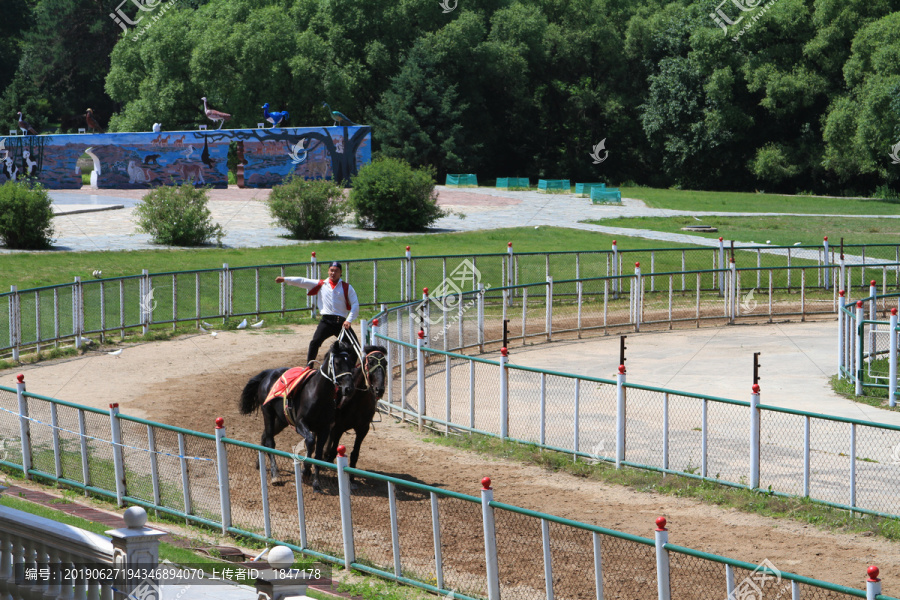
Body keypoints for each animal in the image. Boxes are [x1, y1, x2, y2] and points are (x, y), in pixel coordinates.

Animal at [239, 340, 356, 490]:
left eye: (351, 363)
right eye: (337, 363)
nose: (349, 388)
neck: (318, 394)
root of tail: (268, 373)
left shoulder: (324, 429)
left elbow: (318, 453)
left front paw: (316, 482)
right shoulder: (300, 423)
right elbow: (310, 441)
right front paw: (305, 471)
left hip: (281, 420)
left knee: (264, 435)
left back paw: (259, 462)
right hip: (268, 413)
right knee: (270, 441)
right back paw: (275, 475)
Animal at [326, 344, 388, 486]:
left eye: (385, 363)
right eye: (370, 362)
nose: (379, 389)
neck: (357, 399)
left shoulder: (363, 429)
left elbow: (355, 453)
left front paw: (352, 478)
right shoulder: (338, 427)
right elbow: (333, 450)